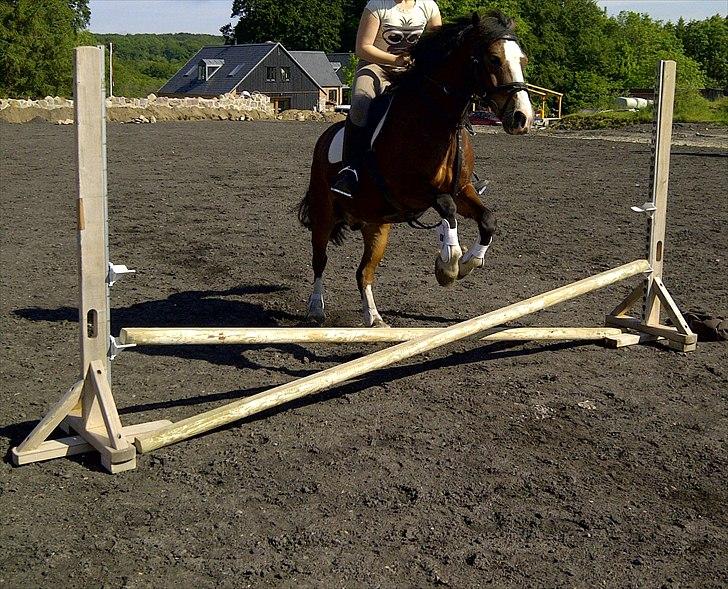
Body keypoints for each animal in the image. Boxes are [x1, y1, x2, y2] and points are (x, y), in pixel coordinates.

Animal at [298, 11, 536, 326]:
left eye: (522, 60)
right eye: (494, 59)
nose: (522, 118)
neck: (436, 120)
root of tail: (325, 137)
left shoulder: (462, 189)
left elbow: (486, 220)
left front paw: (467, 262)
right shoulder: (408, 191)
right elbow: (447, 208)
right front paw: (448, 264)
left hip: (377, 225)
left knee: (364, 272)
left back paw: (374, 318)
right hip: (324, 213)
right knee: (319, 260)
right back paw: (316, 307)